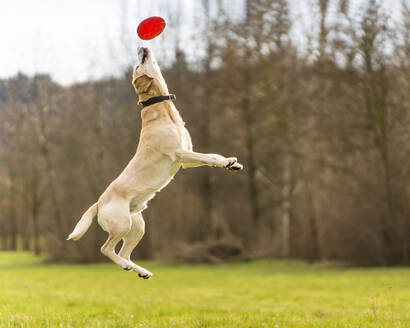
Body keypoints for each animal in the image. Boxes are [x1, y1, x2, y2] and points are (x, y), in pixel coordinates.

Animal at [66, 47, 242, 280]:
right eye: (137, 65)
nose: (142, 47)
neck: (163, 110)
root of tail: (98, 203)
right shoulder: (180, 154)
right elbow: (210, 157)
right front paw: (227, 161)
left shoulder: (187, 156)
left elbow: (209, 155)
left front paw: (232, 164)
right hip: (122, 223)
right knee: (106, 248)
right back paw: (125, 265)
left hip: (137, 226)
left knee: (124, 252)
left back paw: (140, 270)